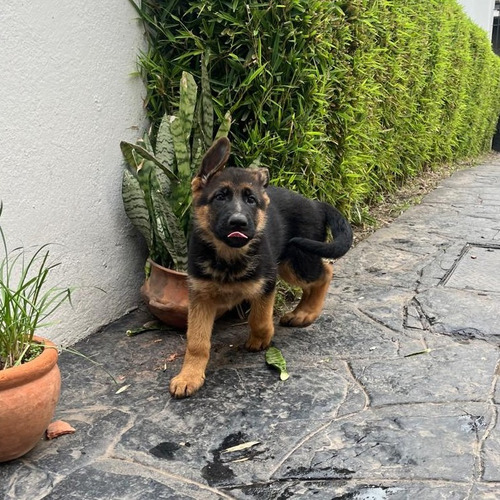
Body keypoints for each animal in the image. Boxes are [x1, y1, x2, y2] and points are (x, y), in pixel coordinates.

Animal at [170, 137, 354, 398]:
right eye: (220, 197)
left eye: (251, 200)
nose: (238, 222)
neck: (228, 255)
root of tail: (316, 204)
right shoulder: (200, 296)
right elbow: (196, 341)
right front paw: (189, 376)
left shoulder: (266, 282)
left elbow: (259, 317)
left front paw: (261, 339)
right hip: (290, 263)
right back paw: (300, 311)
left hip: (296, 260)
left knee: (325, 272)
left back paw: (306, 313)